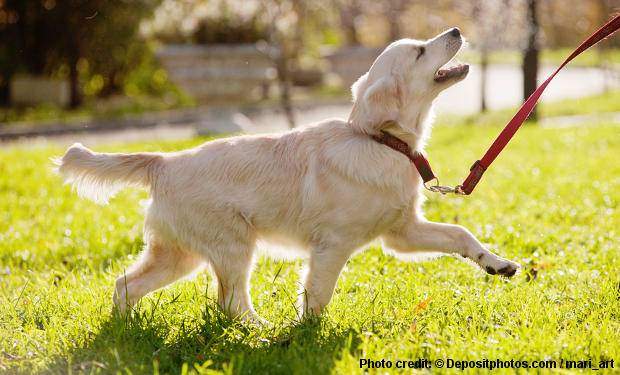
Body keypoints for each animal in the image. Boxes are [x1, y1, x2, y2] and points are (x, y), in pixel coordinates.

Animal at [58, 27, 520, 324]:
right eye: (421, 51)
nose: (457, 29)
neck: (379, 141)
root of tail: (164, 161)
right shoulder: (332, 246)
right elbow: (318, 295)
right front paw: (308, 338)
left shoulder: (401, 233)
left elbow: (460, 235)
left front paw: (495, 264)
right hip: (232, 246)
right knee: (231, 303)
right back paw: (261, 336)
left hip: (179, 253)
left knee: (125, 284)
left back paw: (125, 330)